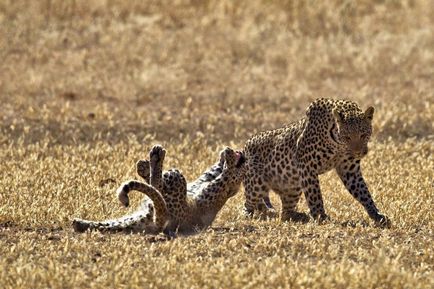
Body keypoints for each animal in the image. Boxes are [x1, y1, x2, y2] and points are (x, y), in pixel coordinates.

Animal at [73, 144, 246, 234]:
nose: (234, 150)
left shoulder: (219, 186)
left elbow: (228, 174)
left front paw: (229, 158)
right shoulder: (210, 176)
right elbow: (216, 170)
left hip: (174, 187)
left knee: (159, 184)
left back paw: (156, 157)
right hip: (138, 218)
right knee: (114, 225)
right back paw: (80, 224)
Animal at [244, 97, 390, 225]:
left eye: (364, 135)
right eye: (347, 137)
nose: (358, 152)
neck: (338, 145)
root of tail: (247, 143)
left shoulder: (349, 169)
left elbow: (363, 193)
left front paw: (376, 215)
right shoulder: (307, 166)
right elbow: (315, 195)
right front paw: (321, 217)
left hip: (293, 188)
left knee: (284, 213)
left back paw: (299, 216)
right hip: (256, 185)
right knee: (247, 204)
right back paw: (249, 216)